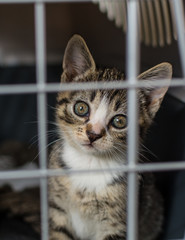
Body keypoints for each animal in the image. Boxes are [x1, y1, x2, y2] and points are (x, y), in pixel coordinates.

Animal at [48, 34, 173, 240]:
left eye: (119, 121)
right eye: (81, 108)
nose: (93, 134)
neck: (89, 165)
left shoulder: (117, 223)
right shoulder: (58, 209)